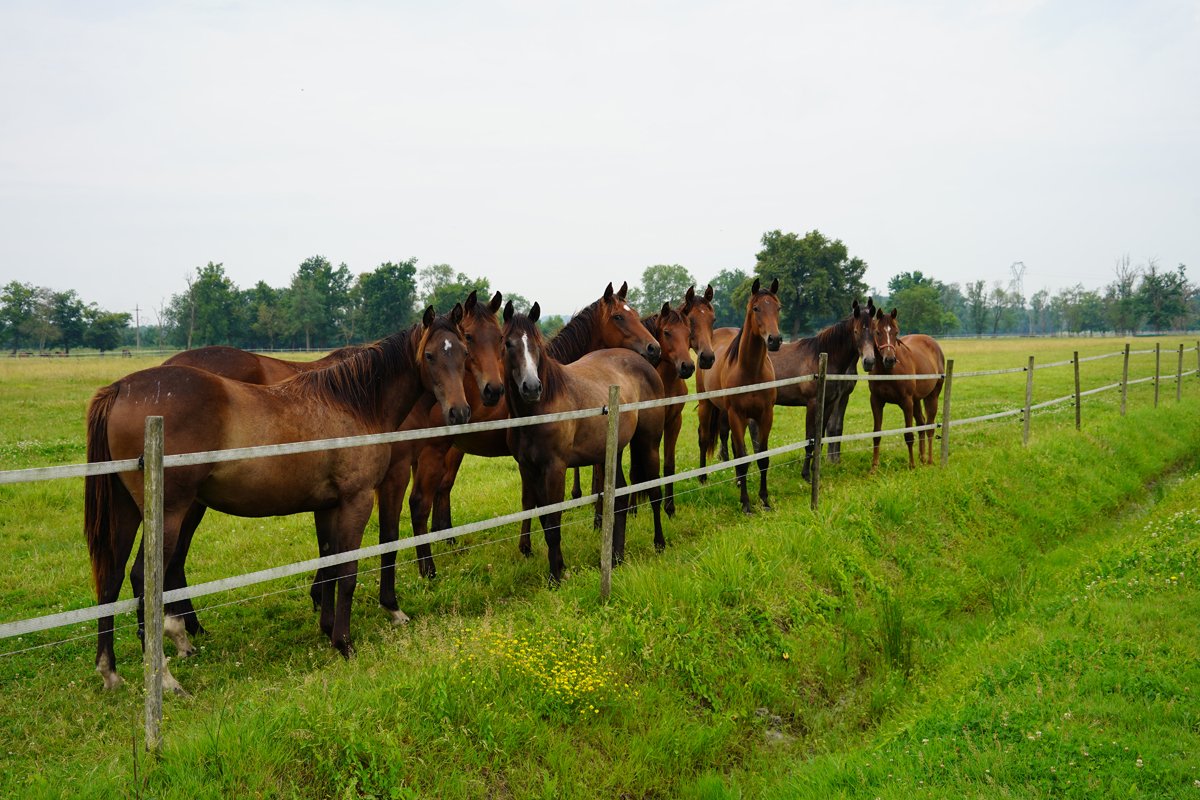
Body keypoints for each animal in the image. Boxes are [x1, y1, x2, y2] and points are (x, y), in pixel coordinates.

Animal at [83, 307, 471, 691]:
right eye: (430, 355)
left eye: (464, 353)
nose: (460, 412)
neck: (354, 404)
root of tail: (119, 388)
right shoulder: (356, 500)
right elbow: (347, 572)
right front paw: (345, 643)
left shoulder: (328, 506)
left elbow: (329, 567)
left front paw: (328, 630)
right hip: (170, 513)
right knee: (142, 578)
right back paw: (165, 676)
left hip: (128, 511)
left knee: (112, 578)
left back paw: (110, 671)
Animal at [696, 277, 783, 513]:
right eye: (756, 308)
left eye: (778, 308)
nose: (775, 339)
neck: (750, 370)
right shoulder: (737, 414)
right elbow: (743, 459)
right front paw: (746, 504)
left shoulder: (765, 415)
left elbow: (762, 457)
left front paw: (764, 500)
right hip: (707, 405)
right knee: (703, 437)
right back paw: (702, 478)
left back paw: (736, 481)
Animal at [867, 305, 946, 471]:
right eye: (878, 332)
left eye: (896, 332)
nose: (890, 360)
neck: (888, 373)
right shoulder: (876, 401)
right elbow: (876, 434)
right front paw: (874, 467)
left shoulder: (906, 402)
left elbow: (908, 435)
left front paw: (911, 465)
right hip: (917, 400)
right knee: (921, 423)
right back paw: (922, 457)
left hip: (932, 397)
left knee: (929, 427)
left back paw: (929, 460)